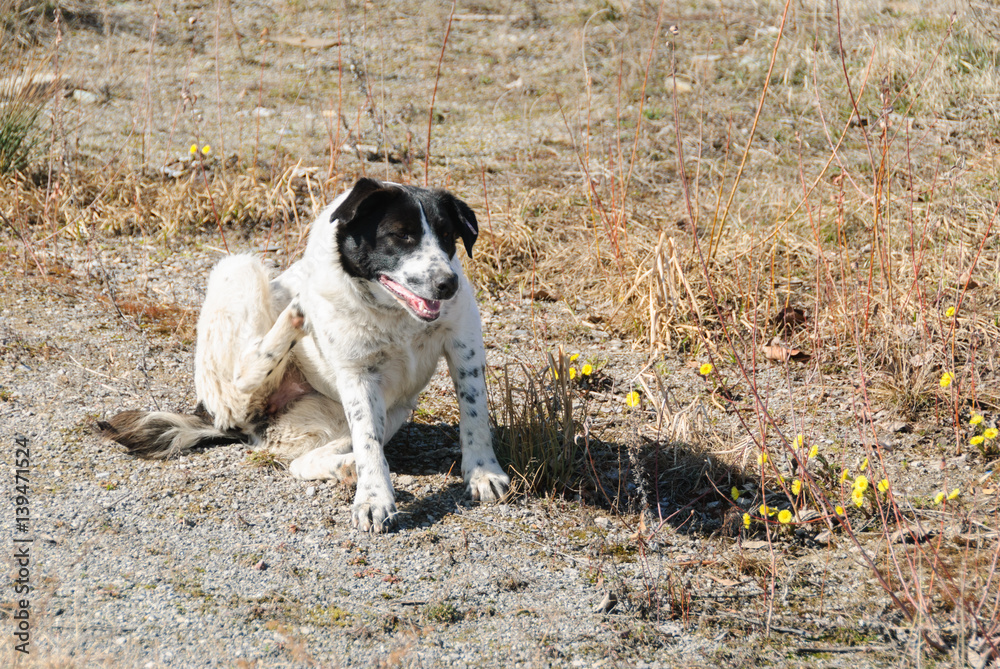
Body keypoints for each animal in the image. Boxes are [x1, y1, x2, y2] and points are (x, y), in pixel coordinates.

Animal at [103, 177, 508, 532]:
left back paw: (346, 468)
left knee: (301, 463)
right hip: (238, 271)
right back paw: (296, 314)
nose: (447, 284)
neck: (394, 314)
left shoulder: (465, 343)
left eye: (447, 236)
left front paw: (483, 473)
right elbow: (370, 446)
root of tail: (219, 420)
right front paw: (375, 499)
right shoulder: (357, 374)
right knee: (244, 374)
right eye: (401, 234)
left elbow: (474, 417)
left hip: (384, 412)